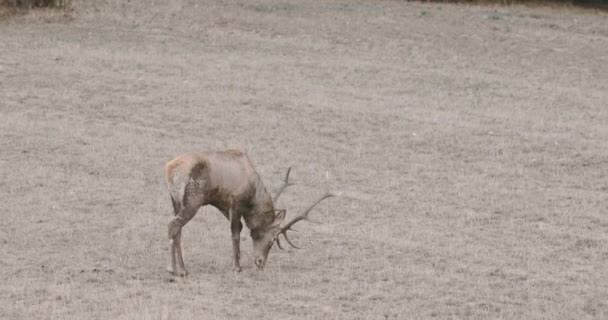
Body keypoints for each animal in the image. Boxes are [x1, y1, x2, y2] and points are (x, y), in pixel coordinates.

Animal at [164, 150, 334, 276]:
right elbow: (236, 233)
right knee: (173, 225)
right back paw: (173, 269)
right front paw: (237, 267)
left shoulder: (224, 205)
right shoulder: (236, 202)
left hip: (175, 201)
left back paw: (182, 269)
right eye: (272, 241)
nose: (260, 263)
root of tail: (170, 169)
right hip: (193, 200)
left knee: (178, 230)